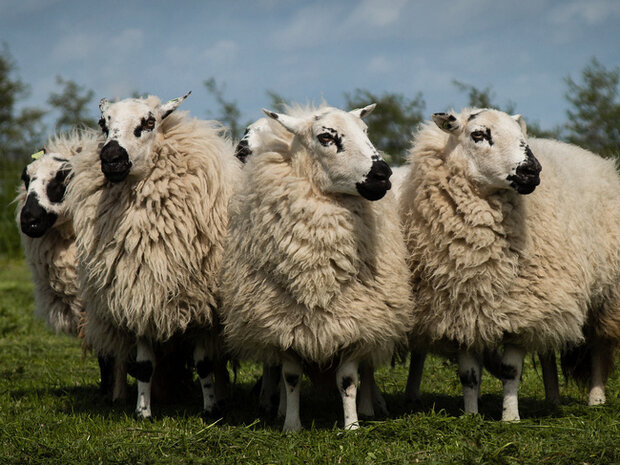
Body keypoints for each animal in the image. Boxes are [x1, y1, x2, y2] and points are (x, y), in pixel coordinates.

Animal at [66, 91, 241, 416]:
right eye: (102, 123)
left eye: (149, 122)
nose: (111, 158)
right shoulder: (140, 297)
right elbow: (144, 366)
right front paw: (143, 412)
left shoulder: (204, 308)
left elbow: (205, 363)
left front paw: (211, 409)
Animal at [218, 103, 412, 430]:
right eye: (326, 137)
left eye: (366, 131)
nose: (382, 174)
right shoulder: (282, 322)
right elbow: (290, 376)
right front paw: (291, 424)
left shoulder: (354, 319)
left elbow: (348, 379)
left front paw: (352, 426)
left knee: (369, 367)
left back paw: (370, 406)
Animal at [400, 107, 620, 418]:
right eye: (478, 134)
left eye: (521, 135)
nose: (531, 170)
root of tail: (599, 160)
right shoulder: (462, 312)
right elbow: (469, 374)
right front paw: (471, 415)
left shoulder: (521, 309)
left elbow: (510, 370)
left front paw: (511, 417)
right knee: (547, 351)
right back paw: (552, 398)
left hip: (606, 293)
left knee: (598, 346)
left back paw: (596, 399)